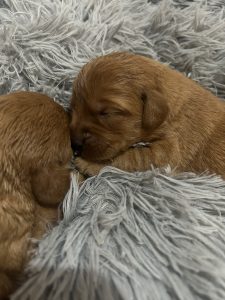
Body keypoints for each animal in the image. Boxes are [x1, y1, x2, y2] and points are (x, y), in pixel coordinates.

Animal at [70, 51, 225, 178]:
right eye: (73, 108)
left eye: (107, 113)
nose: (75, 144)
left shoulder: (170, 151)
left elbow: (131, 158)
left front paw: (89, 165)